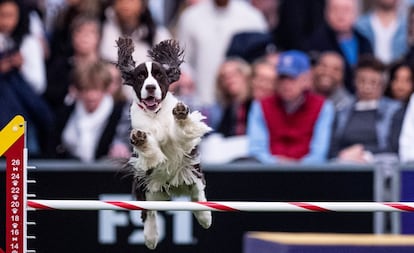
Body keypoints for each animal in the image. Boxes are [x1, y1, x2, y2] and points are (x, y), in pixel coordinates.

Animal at [117, 37, 212, 249]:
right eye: (141, 76)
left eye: (159, 75)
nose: (151, 87)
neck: (155, 114)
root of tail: (173, 185)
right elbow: (150, 149)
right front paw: (141, 139)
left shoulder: (183, 143)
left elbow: (181, 132)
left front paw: (181, 114)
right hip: (144, 184)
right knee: (148, 210)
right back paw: (150, 237)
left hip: (191, 170)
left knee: (197, 191)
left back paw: (205, 216)